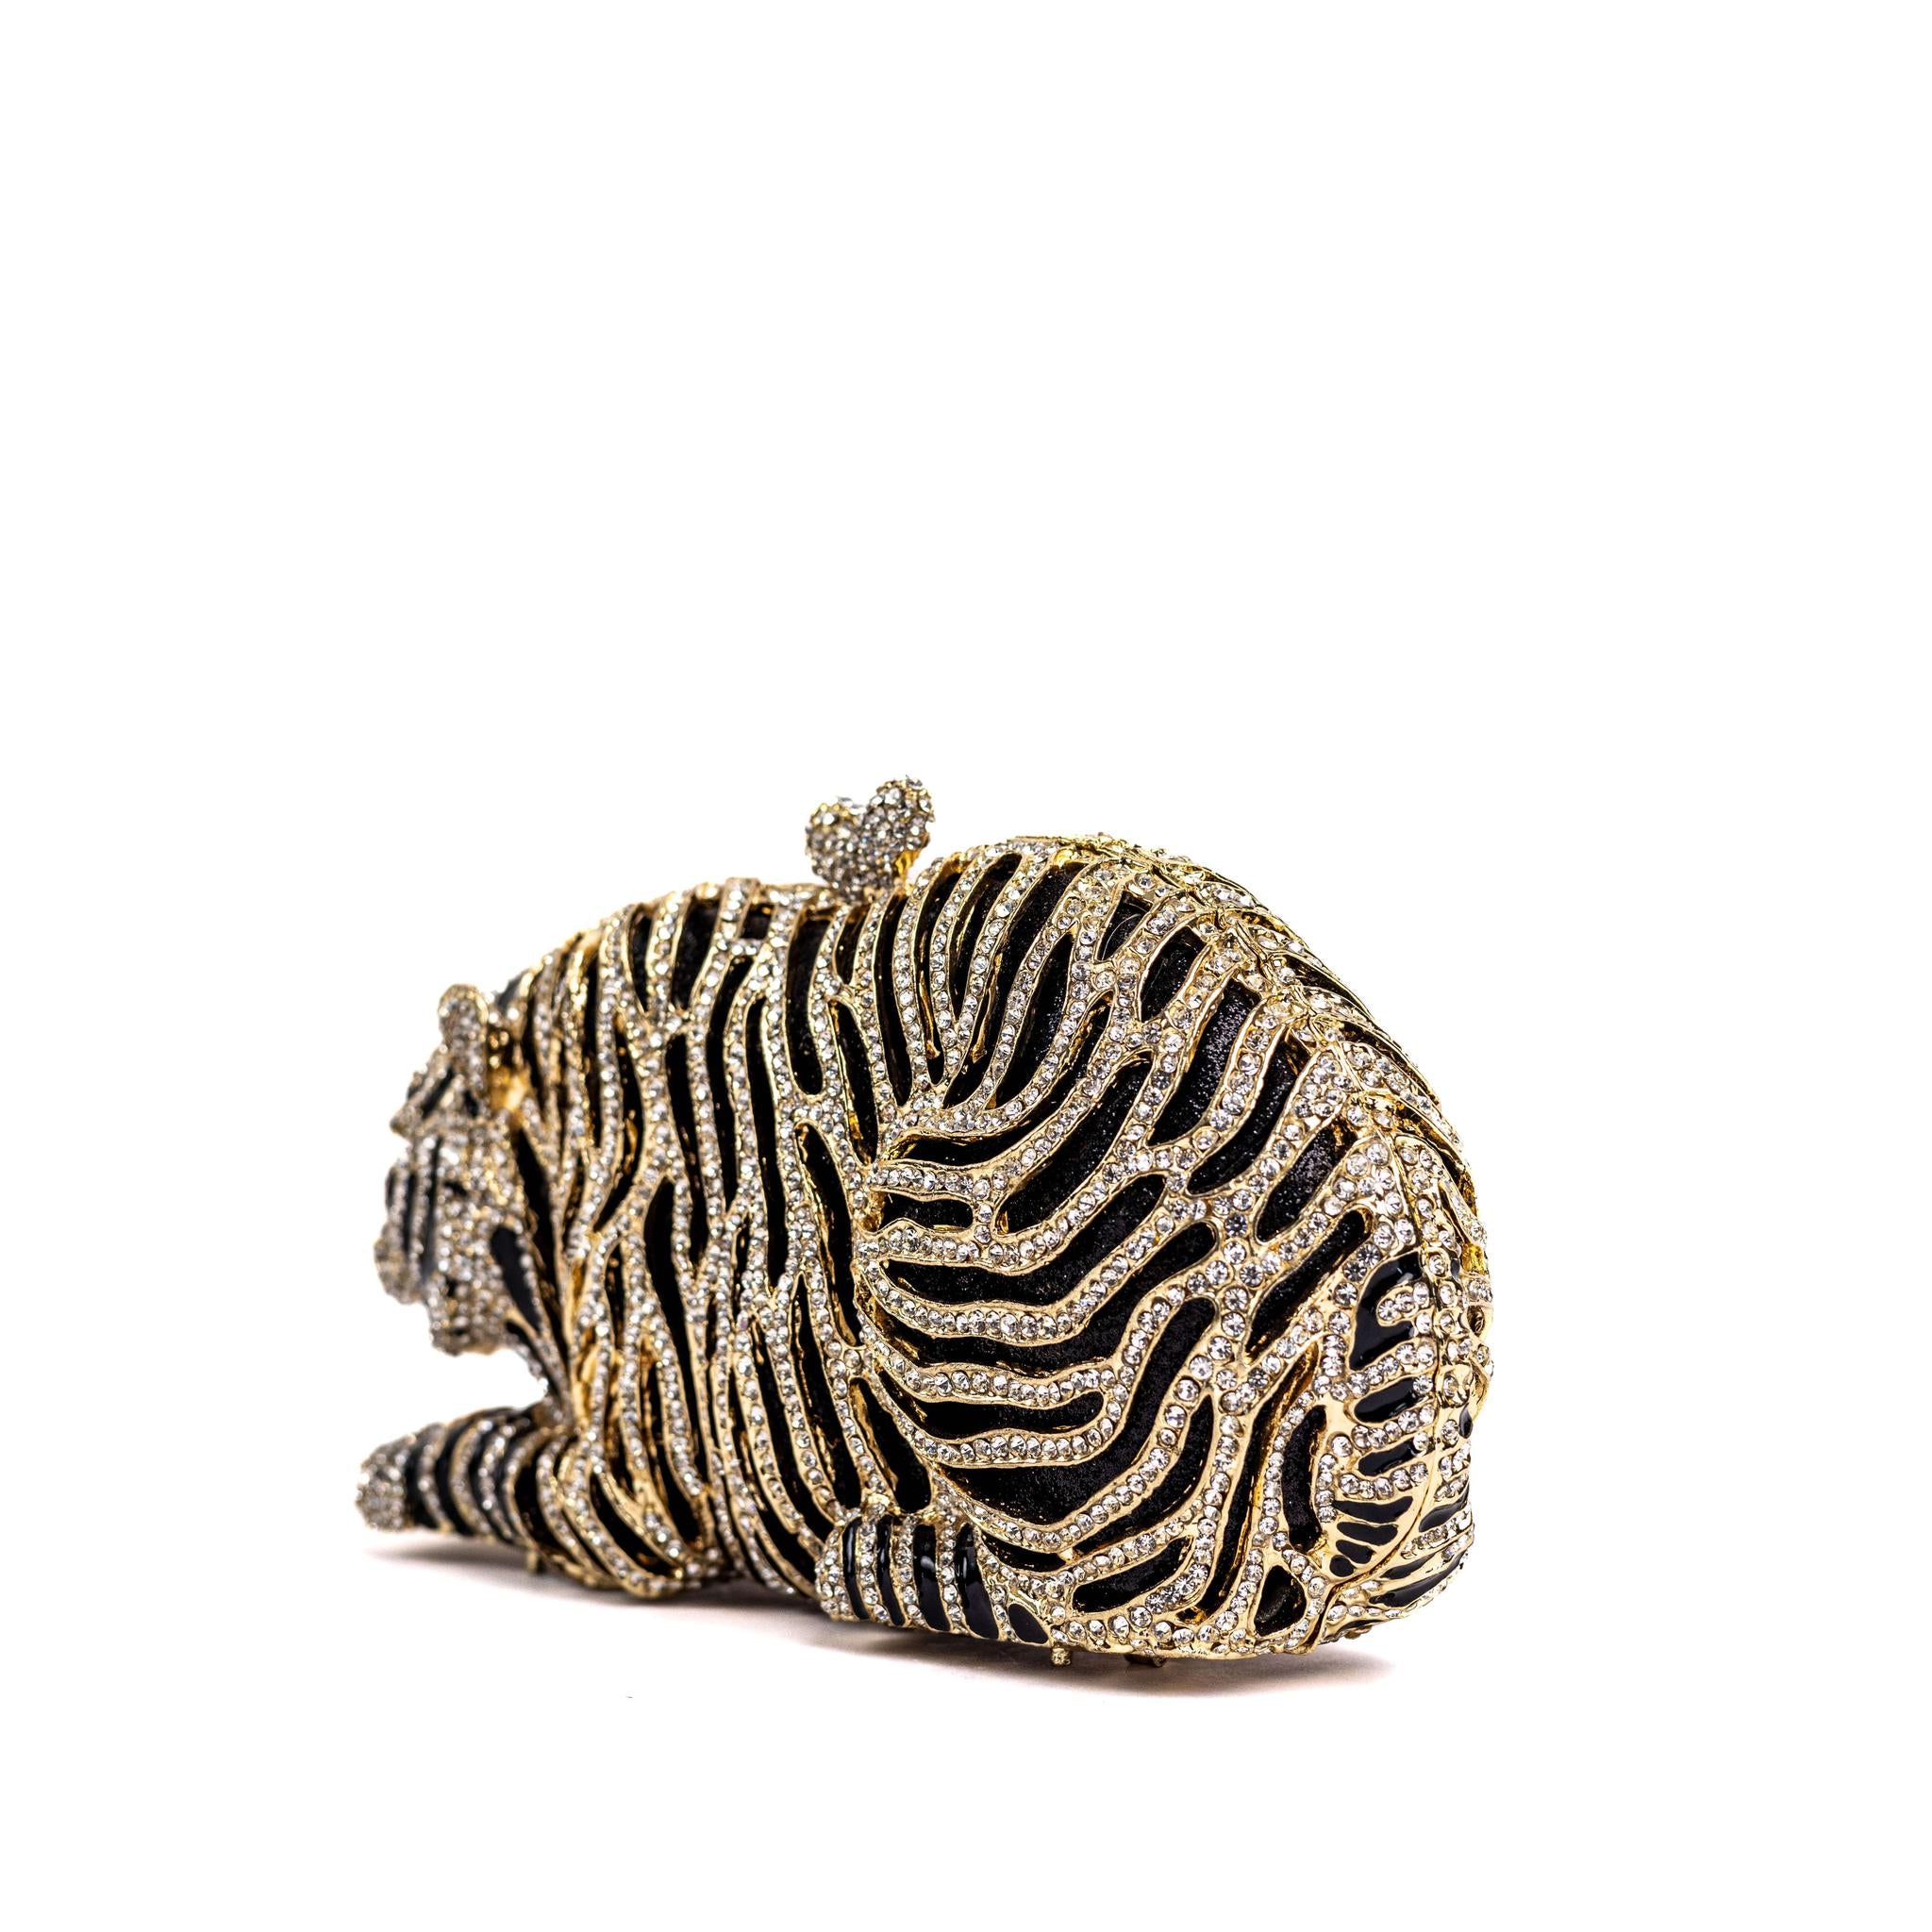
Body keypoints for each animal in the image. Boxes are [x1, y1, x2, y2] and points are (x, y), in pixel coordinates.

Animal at [358, 781, 1492, 1659]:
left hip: (950, 1245)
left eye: (404, 1145)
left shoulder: (631, 1497)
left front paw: (390, 1470)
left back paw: (871, 1555)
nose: (376, 1253)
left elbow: (478, 1461)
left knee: (1079, 1595)